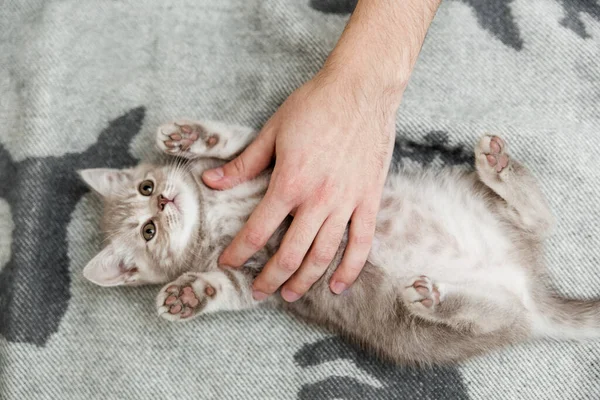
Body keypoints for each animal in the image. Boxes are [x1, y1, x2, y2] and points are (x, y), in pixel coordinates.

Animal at [78, 121, 600, 366]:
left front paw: (190, 137)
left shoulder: (279, 169)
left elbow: (240, 143)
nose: (164, 200)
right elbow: (224, 287)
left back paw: (498, 166)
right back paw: (434, 296)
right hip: (427, 330)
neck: (211, 210)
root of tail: (526, 284)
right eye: (147, 231)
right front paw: (188, 294)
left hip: (475, 201)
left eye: (146, 187)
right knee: (493, 315)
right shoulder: (261, 276)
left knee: (539, 220)